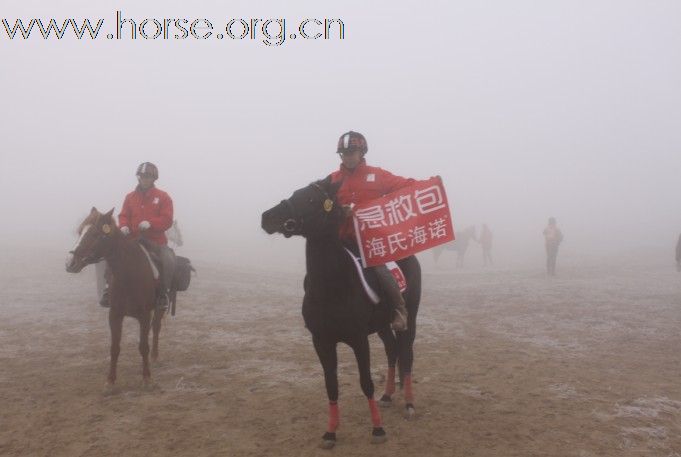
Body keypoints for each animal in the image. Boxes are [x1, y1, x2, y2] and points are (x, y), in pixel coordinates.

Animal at [65, 208, 165, 386]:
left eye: (95, 234)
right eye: (79, 231)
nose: (70, 263)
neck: (129, 274)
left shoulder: (145, 315)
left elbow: (143, 346)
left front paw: (146, 377)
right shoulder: (115, 315)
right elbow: (114, 347)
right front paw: (110, 380)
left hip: (159, 309)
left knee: (156, 328)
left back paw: (155, 356)